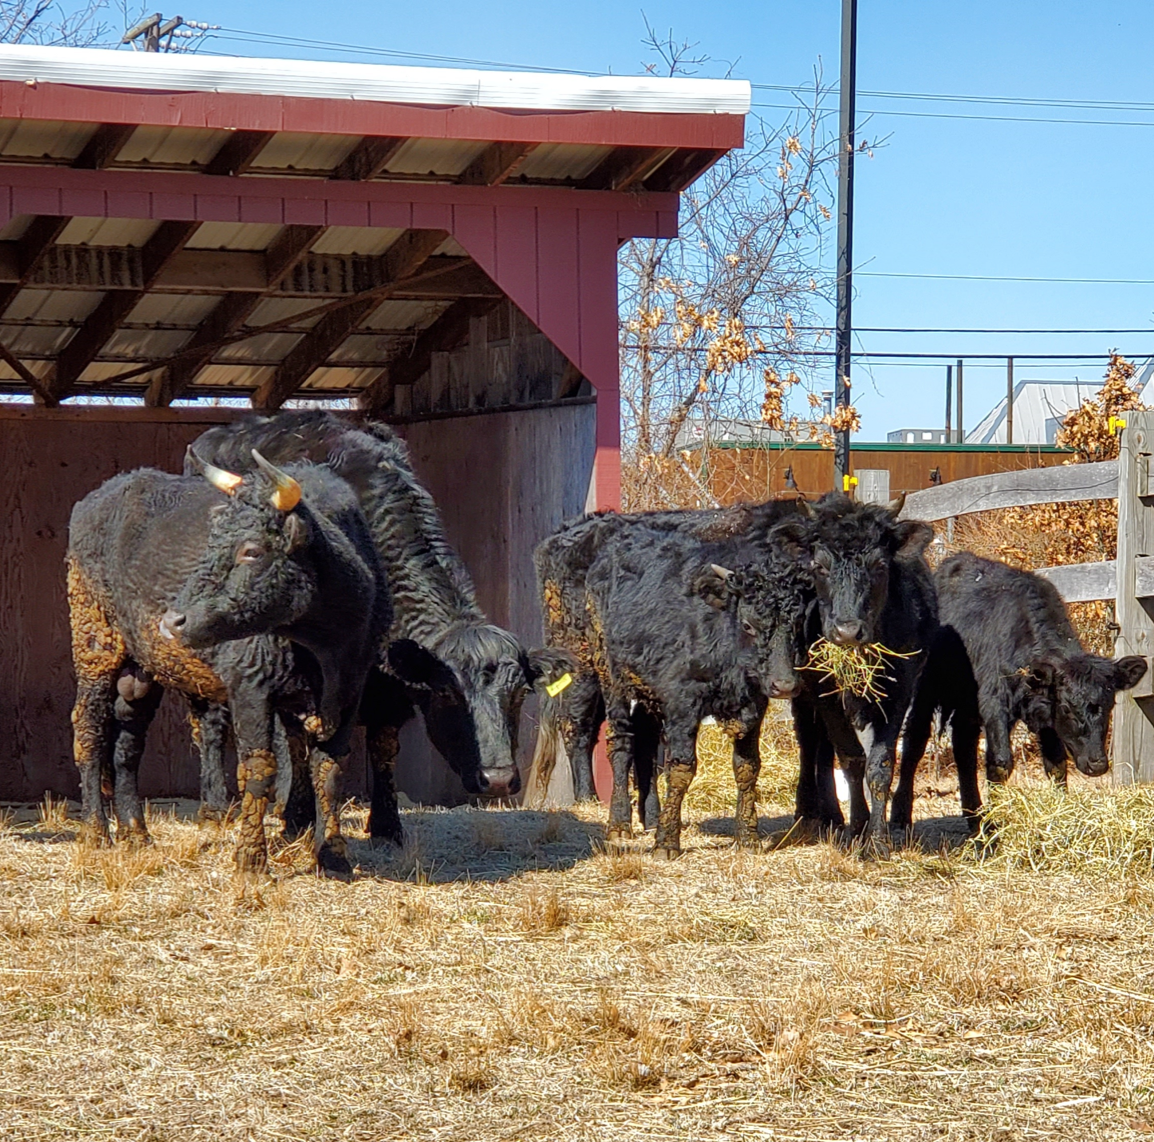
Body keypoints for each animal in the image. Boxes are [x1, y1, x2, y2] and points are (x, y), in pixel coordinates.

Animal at [66, 450, 389, 877]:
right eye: (211, 542)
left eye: (251, 550)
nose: (173, 620)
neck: (323, 649)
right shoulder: (250, 687)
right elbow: (259, 768)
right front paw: (250, 857)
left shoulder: (351, 691)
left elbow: (329, 768)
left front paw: (333, 856)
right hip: (94, 641)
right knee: (89, 727)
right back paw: (95, 831)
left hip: (141, 671)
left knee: (127, 741)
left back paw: (136, 832)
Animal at [185, 413, 570, 844]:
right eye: (447, 693)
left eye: (520, 693)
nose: (499, 779)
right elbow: (297, 741)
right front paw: (296, 815)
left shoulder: (390, 687)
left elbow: (384, 745)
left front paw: (387, 825)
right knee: (212, 722)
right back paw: (217, 806)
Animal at [583, 526, 812, 857]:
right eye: (748, 624)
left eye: (797, 623)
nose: (785, 685)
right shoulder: (683, 704)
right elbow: (681, 768)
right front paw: (667, 842)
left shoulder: (754, 706)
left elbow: (748, 767)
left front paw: (748, 837)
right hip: (611, 676)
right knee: (621, 743)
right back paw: (619, 824)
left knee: (646, 742)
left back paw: (651, 817)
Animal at [891, 552, 1148, 831]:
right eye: (1067, 708)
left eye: (1110, 705)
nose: (1098, 764)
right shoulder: (995, 703)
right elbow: (1001, 762)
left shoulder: (1044, 714)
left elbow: (1056, 763)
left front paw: (1058, 815)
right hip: (925, 688)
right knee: (915, 742)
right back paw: (901, 818)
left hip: (966, 705)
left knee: (963, 747)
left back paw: (975, 818)